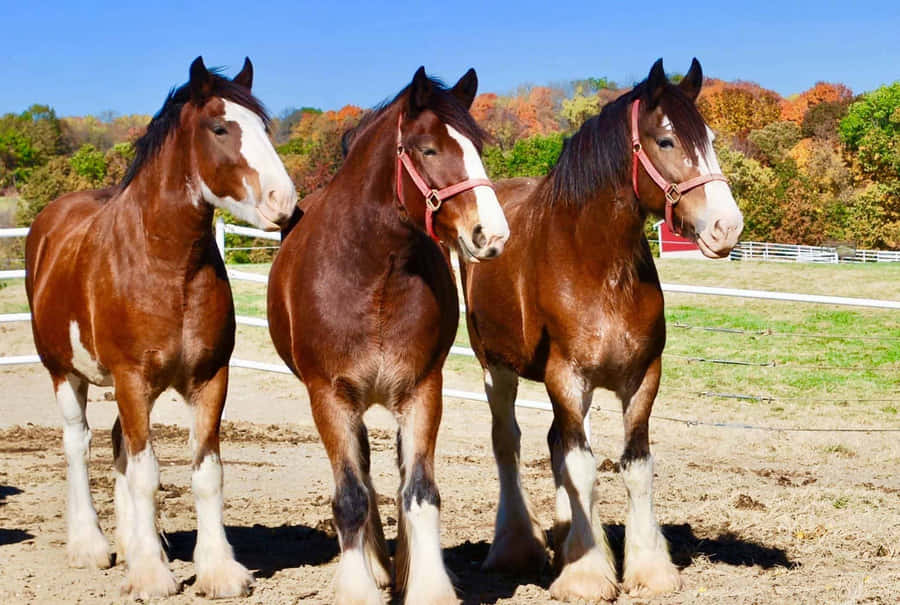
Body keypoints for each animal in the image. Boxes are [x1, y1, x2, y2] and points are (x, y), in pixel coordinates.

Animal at [24, 56, 296, 599]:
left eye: (264, 127)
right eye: (220, 127)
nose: (285, 201)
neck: (167, 266)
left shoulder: (210, 379)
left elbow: (205, 472)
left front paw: (217, 571)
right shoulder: (132, 379)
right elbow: (146, 473)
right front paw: (151, 575)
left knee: (118, 445)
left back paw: (129, 542)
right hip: (65, 373)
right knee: (78, 443)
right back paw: (90, 546)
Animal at [267, 67, 509, 605]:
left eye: (477, 146)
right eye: (428, 149)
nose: (492, 235)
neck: (372, 276)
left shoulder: (422, 390)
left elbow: (420, 492)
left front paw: (429, 586)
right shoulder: (330, 397)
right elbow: (351, 496)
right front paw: (361, 587)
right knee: (359, 474)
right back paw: (377, 565)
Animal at [456, 58, 744, 602]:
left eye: (712, 139)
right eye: (666, 140)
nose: (727, 227)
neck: (597, 267)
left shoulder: (642, 378)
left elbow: (634, 465)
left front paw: (648, 569)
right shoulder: (565, 377)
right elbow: (582, 466)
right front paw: (586, 575)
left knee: (556, 445)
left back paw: (567, 531)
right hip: (496, 370)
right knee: (510, 444)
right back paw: (515, 549)